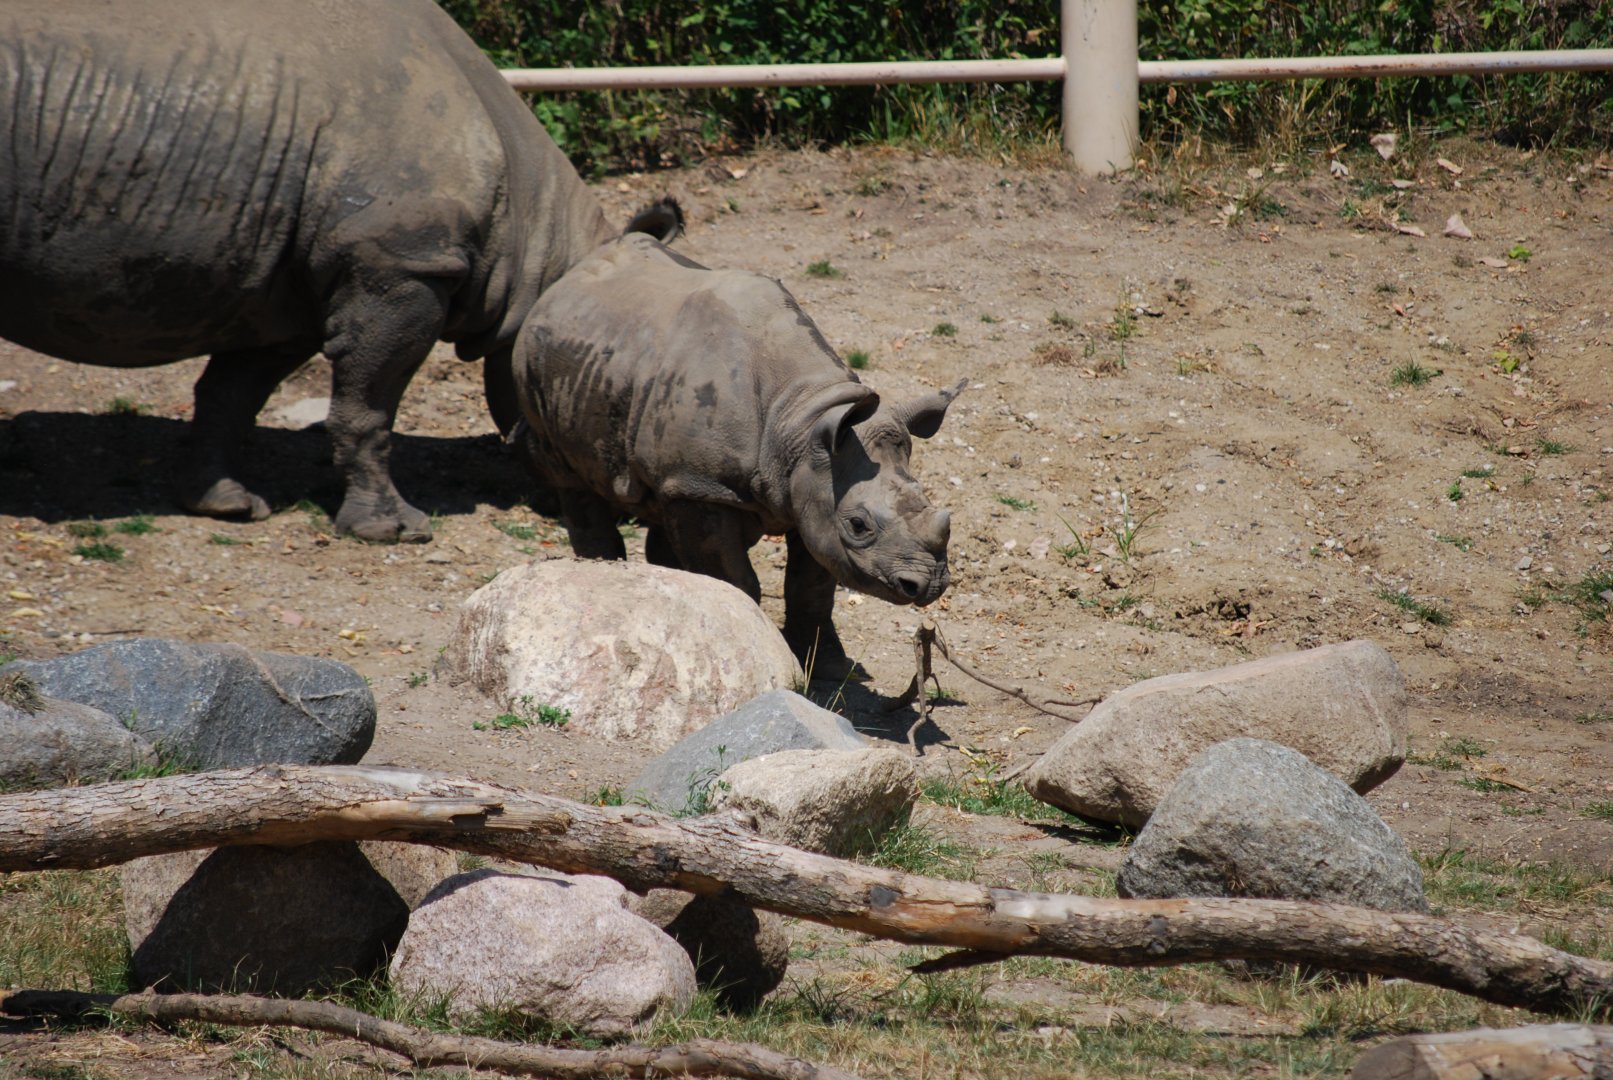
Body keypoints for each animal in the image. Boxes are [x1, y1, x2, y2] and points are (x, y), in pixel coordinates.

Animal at [0, 0, 669, 541]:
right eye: (600, 400)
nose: (635, 505)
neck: (537, 254)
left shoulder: (279, 290)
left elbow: (232, 393)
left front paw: (224, 505)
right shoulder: (398, 264)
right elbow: (369, 402)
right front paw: (390, 530)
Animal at [513, 230, 965, 676]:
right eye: (858, 525)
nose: (928, 584)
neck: (803, 416)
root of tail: (564, 282)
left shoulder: (808, 488)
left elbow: (811, 586)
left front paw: (828, 667)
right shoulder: (706, 485)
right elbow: (738, 580)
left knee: (659, 502)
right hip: (536, 371)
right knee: (571, 478)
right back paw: (602, 573)